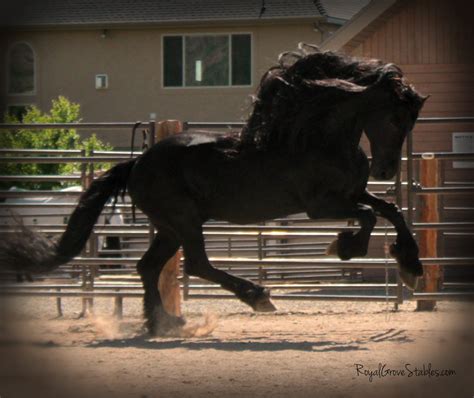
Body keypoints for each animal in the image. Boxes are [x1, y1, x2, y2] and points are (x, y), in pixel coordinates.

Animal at [0, 45, 428, 334]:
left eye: (411, 121)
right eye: (395, 118)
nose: (387, 169)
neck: (317, 138)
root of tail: (137, 164)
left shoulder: (351, 195)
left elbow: (392, 211)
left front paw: (410, 267)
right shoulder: (321, 206)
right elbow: (370, 216)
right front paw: (345, 247)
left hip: (170, 226)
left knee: (148, 266)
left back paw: (165, 323)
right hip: (184, 220)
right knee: (197, 264)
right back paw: (257, 298)